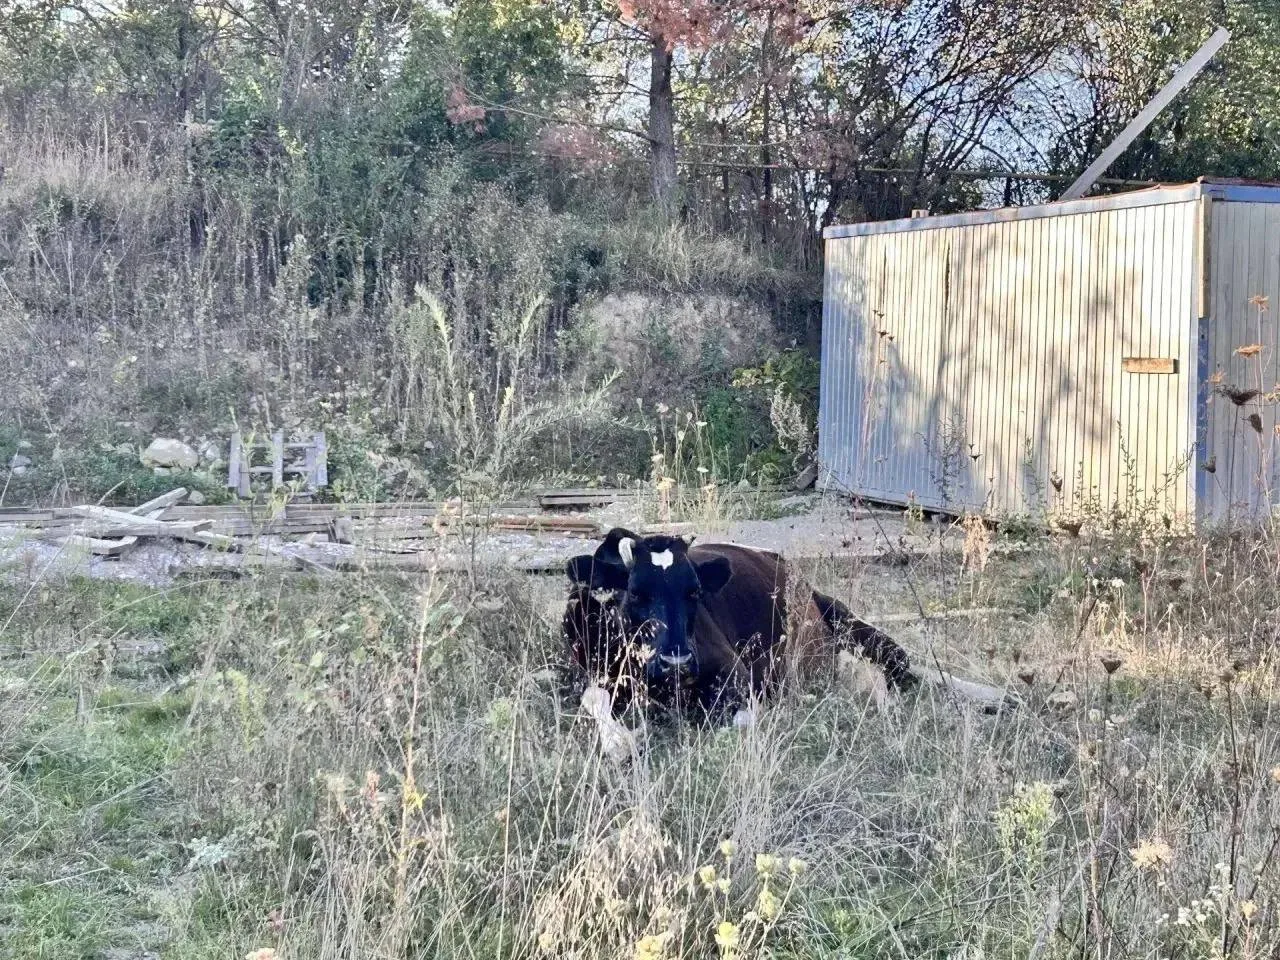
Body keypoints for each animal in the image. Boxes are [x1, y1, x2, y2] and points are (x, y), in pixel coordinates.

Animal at [560, 527, 995, 740]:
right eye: (635, 592)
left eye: (695, 592)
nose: (677, 661)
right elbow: (592, 699)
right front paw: (621, 740)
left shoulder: (737, 676)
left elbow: (741, 719)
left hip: (842, 617)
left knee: (900, 665)